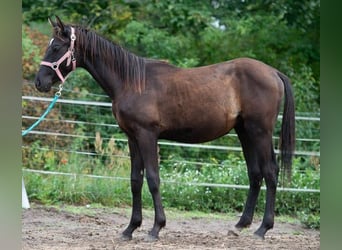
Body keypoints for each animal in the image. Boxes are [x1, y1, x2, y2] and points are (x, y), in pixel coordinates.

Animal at [35, 16, 296, 241]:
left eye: (56, 47)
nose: (39, 82)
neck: (131, 81)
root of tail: (273, 72)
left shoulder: (147, 135)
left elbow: (153, 179)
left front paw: (155, 228)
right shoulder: (132, 137)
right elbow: (135, 181)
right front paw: (130, 229)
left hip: (260, 132)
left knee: (270, 172)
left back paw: (263, 229)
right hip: (245, 132)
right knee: (255, 174)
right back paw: (240, 226)